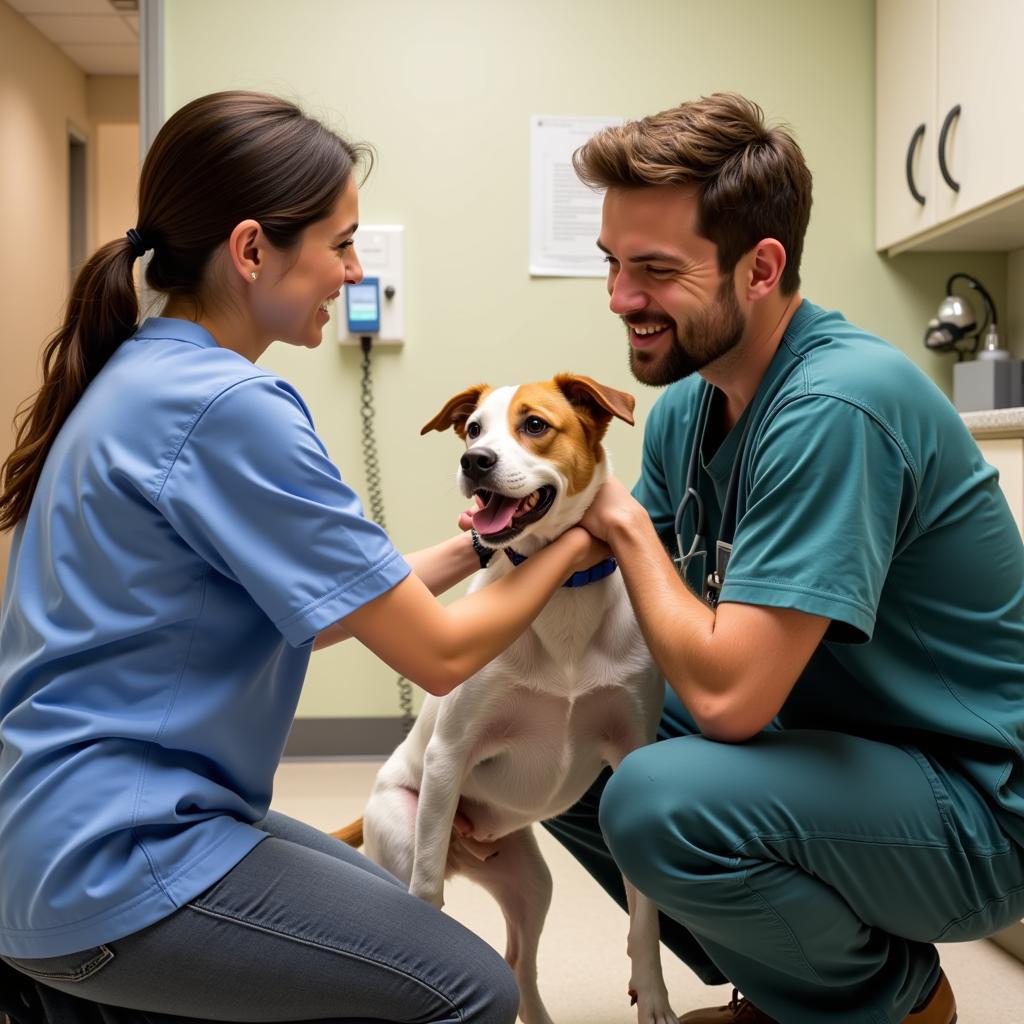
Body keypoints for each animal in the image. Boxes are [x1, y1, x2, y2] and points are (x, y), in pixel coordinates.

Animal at [335, 374, 671, 1024]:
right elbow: (426, 896)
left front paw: (655, 999)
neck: (562, 590)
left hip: (530, 880)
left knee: (520, 962)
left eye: (534, 424)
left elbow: (645, 918)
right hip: (407, 831)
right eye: (473, 430)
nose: (475, 462)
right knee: (435, 893)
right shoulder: (449, 752)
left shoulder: (632, 748)